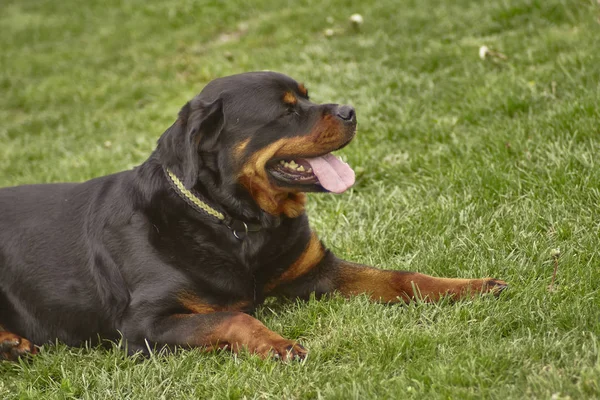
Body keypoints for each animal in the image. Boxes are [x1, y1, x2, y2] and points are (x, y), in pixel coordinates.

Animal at [0, 72, 506, 362]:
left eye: (307, 97)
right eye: (285, 112)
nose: (350, 110)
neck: (237, 224)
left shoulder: (317, 269)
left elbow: (402, 277)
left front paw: (470, 286)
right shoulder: (142, 325)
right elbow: (233, 318)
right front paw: (278, 344)